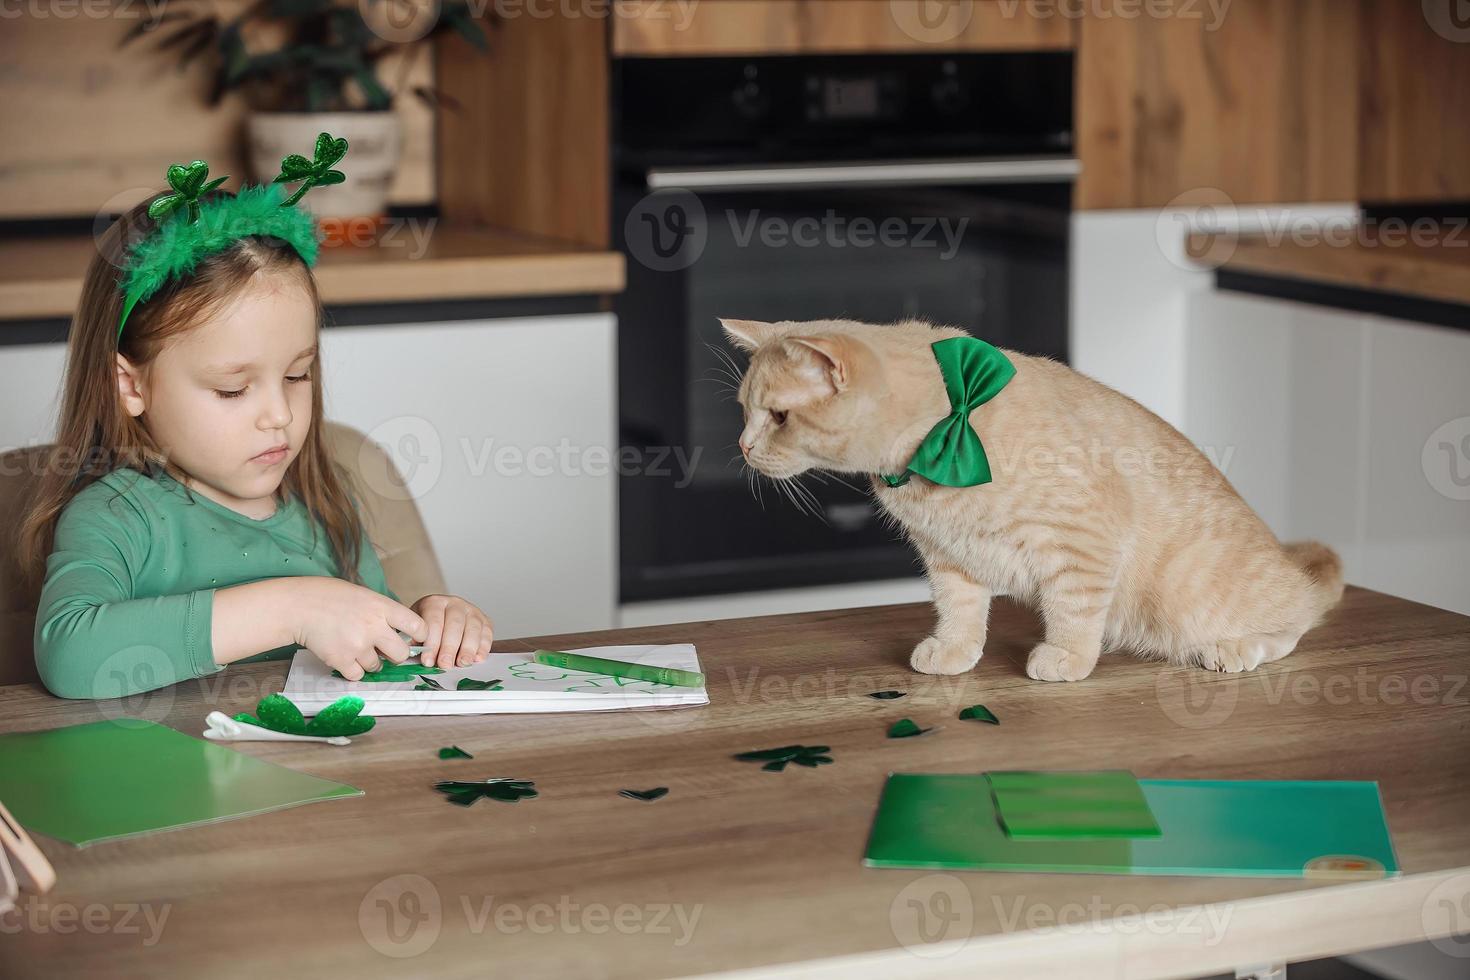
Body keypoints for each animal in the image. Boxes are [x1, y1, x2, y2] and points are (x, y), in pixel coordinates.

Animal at [723, 318, 1346, 678]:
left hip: (1196, 599)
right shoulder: (947, 556)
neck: (949, 426)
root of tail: (1289, 563)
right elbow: (959, 610)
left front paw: (1067, 657)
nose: (743, 445)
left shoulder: (1084, 545)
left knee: (1297, 621)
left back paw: (1235, 649)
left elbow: (1073, 610)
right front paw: (954, 652)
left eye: (778, 417)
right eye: (743, 409)